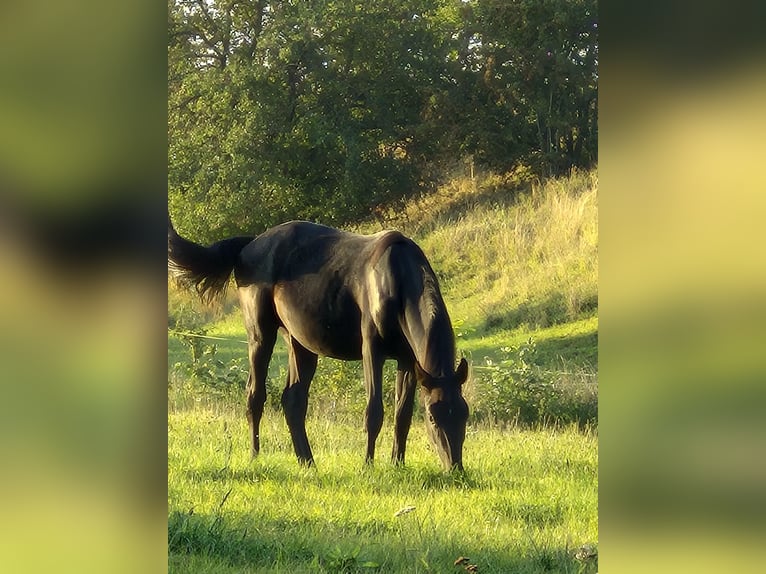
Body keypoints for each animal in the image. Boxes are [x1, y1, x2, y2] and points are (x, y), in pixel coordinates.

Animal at [168, 219, 469, 470]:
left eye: (464, 415)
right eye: (433, 417)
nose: (455, 468)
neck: (395, 281)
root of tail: (251, 243)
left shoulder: (407, 359)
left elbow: (402, 415)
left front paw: (397, 464)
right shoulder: (372, 350)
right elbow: (374, 412)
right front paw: (367, 466)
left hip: (300, 344)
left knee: (293, 401)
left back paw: (307, 461)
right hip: (260, 335)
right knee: (255, 395)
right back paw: (255, 456)